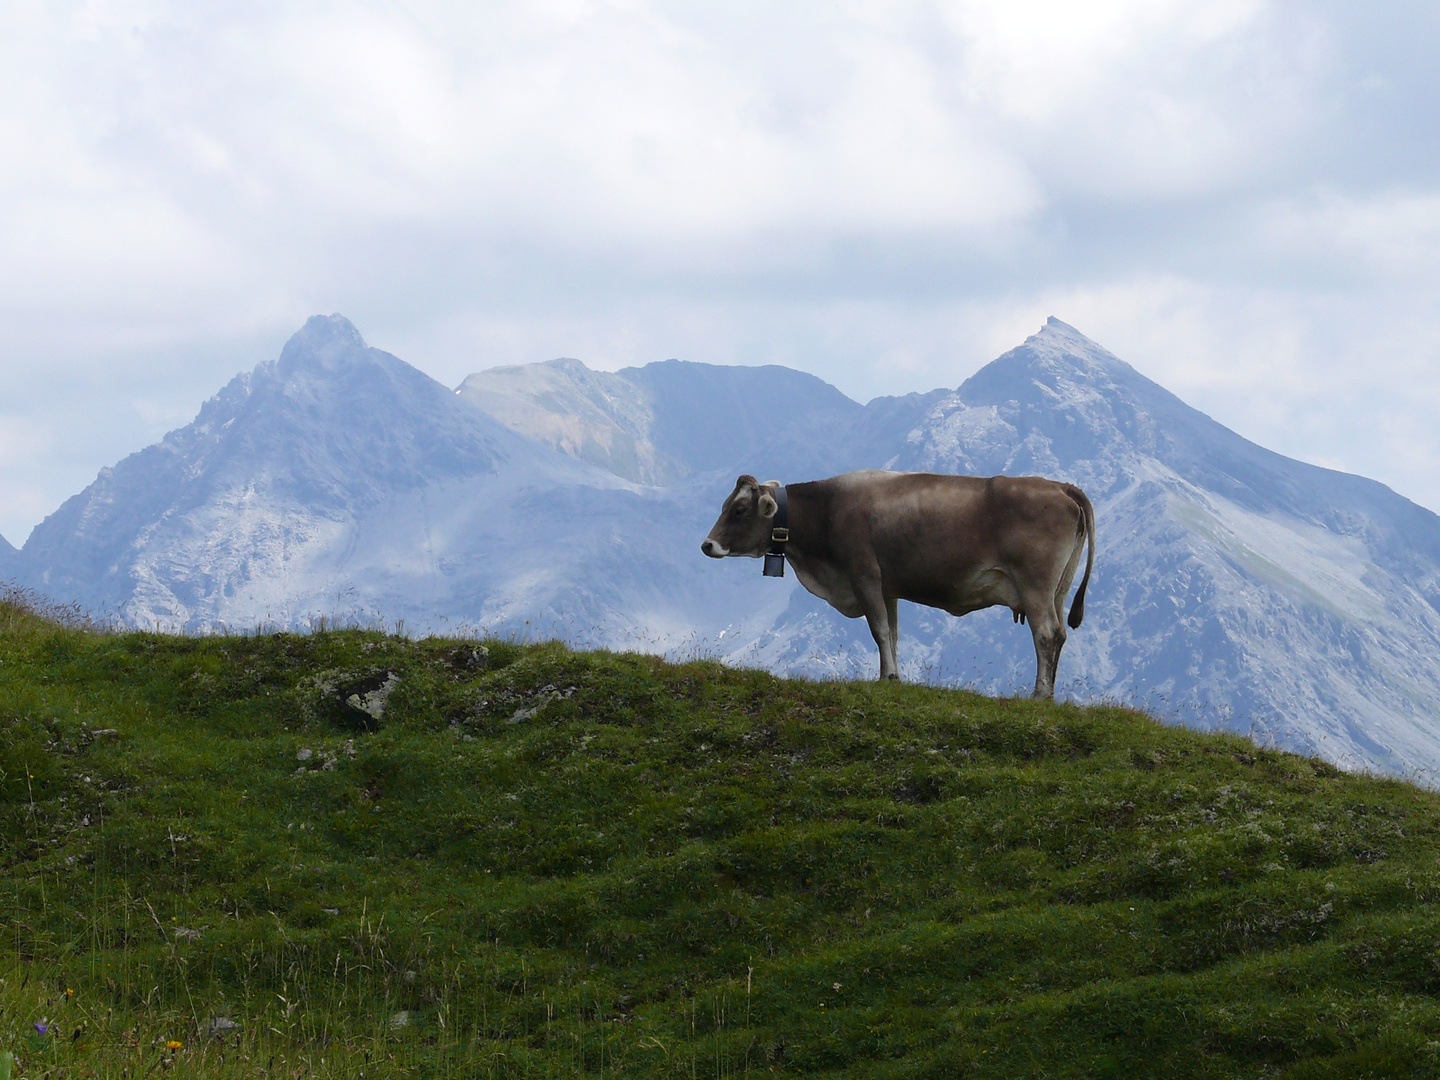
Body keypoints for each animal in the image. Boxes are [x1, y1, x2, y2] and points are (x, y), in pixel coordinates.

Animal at [696, 469, 1088, 696]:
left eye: (739, 510)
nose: (707, 545)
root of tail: (1061, 487)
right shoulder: (888, 587)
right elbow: (894, 633)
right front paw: (894, 674)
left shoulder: (864, 574)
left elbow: (879, 630)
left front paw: (886, 678)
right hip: (1058, 590)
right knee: (1059, 634)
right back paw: (1050, 693)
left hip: (1035, 586)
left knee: (1046, 634)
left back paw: (1040, 694)